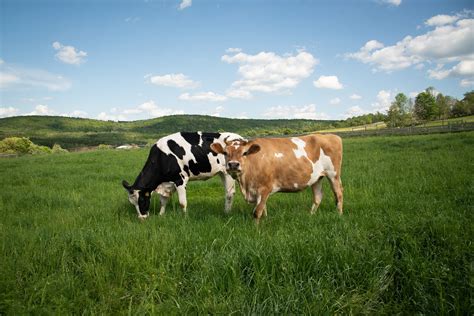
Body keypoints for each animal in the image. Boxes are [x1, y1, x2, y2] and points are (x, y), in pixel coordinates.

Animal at [209, 135, 342, 223]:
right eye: (225, 153)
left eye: (245, 153)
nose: (233, 165)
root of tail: (332, 135)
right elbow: (262, 209)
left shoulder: (264, 188)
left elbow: (257, 212)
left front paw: (255, 229)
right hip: (316, 178)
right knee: (318, 197)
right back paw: (311, 215)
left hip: (333, 174)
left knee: (338, 194)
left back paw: (339, 214)